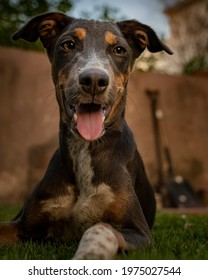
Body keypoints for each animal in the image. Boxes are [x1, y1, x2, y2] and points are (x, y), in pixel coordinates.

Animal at [0, 12, 172, 258]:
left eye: (119, 49)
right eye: (68, 45)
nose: (93, 81)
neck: (84, 148)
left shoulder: (139, 232)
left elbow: (101, 228)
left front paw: (88, 254)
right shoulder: (24, 226)